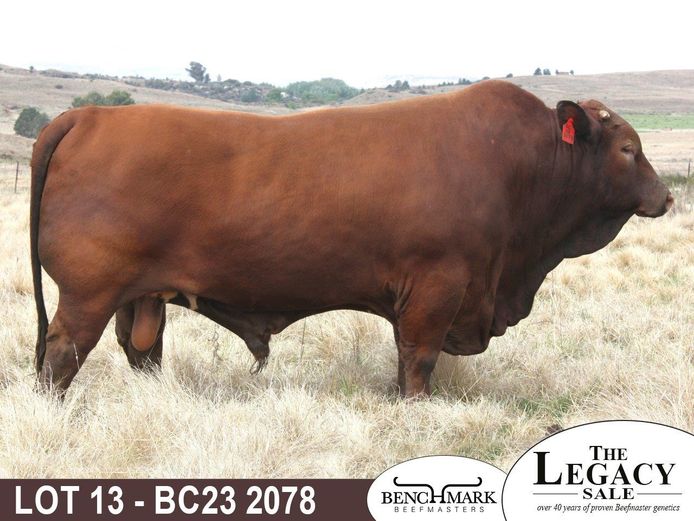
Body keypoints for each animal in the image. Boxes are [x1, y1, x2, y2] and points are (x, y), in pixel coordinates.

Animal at [30, 80, 673, 397]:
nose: (666, 198)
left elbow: (404, 361)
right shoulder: (437, 287)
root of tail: (88, 115)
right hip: (88, 293)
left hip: (138, 297)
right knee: (61, 355)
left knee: (141, 351)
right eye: (627, 148)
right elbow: (419, 363)